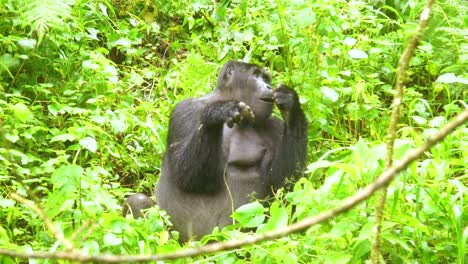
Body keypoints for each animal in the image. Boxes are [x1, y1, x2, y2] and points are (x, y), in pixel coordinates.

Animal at [124, 60, 308, 242]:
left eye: (266, 79)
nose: (268, 87)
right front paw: (217, 113)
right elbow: (185, 176)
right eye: (256, 75)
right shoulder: (184, 109)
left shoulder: (275, 127)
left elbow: (282, 187)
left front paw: (291, 107)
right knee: (138, 202)